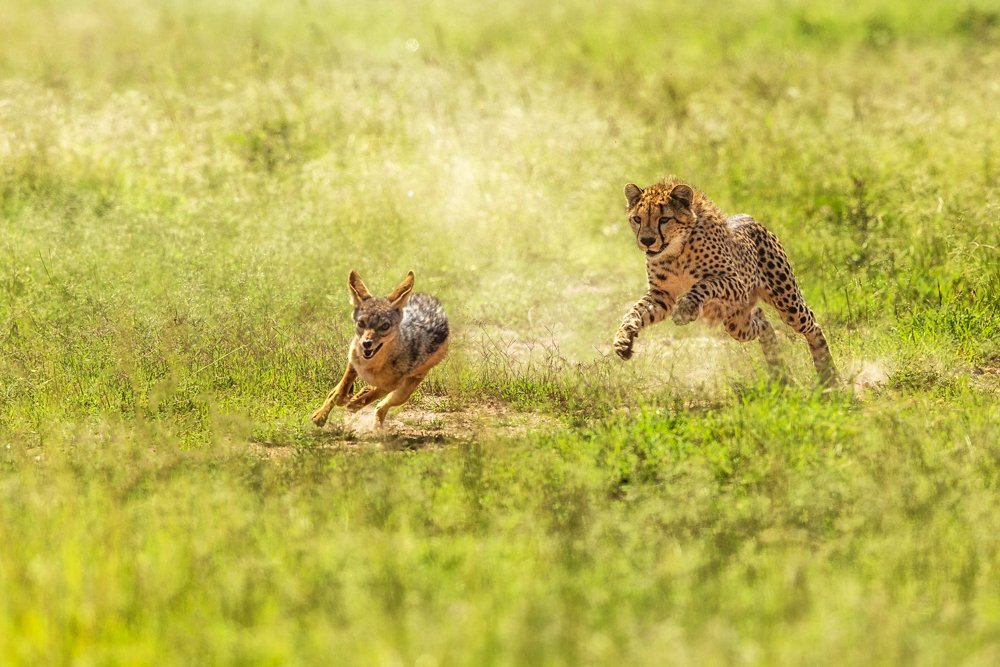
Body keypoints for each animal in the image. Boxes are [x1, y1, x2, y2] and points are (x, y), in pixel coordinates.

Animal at [612, 177, 837, 385]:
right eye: (637, 219)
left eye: (665, 219)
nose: (647, 241)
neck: (675, 252)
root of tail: (749, 217)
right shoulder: (662, 296)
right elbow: (634, 312)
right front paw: (623, 340)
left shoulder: (734, 282)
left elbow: (704, 284)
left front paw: (686, 309)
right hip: (736, 323)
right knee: (762, 321)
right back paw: (779, 373)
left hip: (786, 301)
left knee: (812, 325)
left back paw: (829, 377)